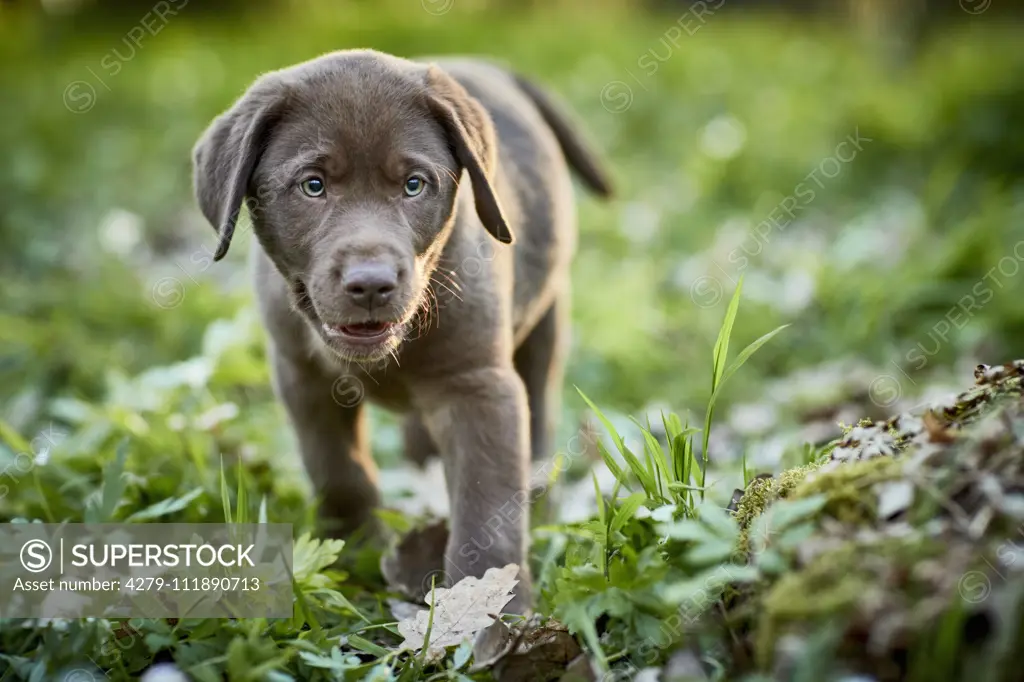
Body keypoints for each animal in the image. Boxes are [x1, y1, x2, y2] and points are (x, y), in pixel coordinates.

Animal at [190, 50, 606, 606]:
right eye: (313, 185)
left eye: (414, 185)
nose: (371, 284)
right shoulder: (301, 375)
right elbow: (337, 470)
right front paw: (352, 550)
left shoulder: (478, 384)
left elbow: (486, 503)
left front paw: (492, 601)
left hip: (545, 318)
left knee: (539, 404)